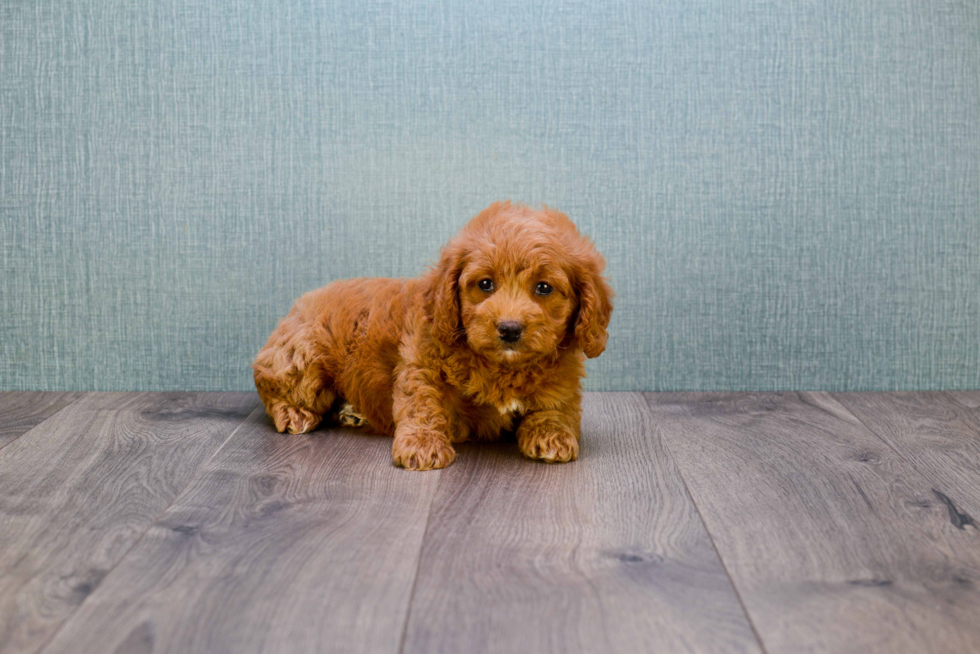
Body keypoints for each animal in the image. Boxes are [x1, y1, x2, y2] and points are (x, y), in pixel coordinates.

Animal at [253, 201, 612, 472]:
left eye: (544, 288)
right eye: (485, 284)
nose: (509, 328)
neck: (503, 367)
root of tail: (299, 304)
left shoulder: (561, 376)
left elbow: (556, 405)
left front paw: (553, 435)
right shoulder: (421, 361)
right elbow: (422, 402)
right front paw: (422, 445)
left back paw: (352, 411)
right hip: (303, 356)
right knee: (272, 383)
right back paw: (295, 412)